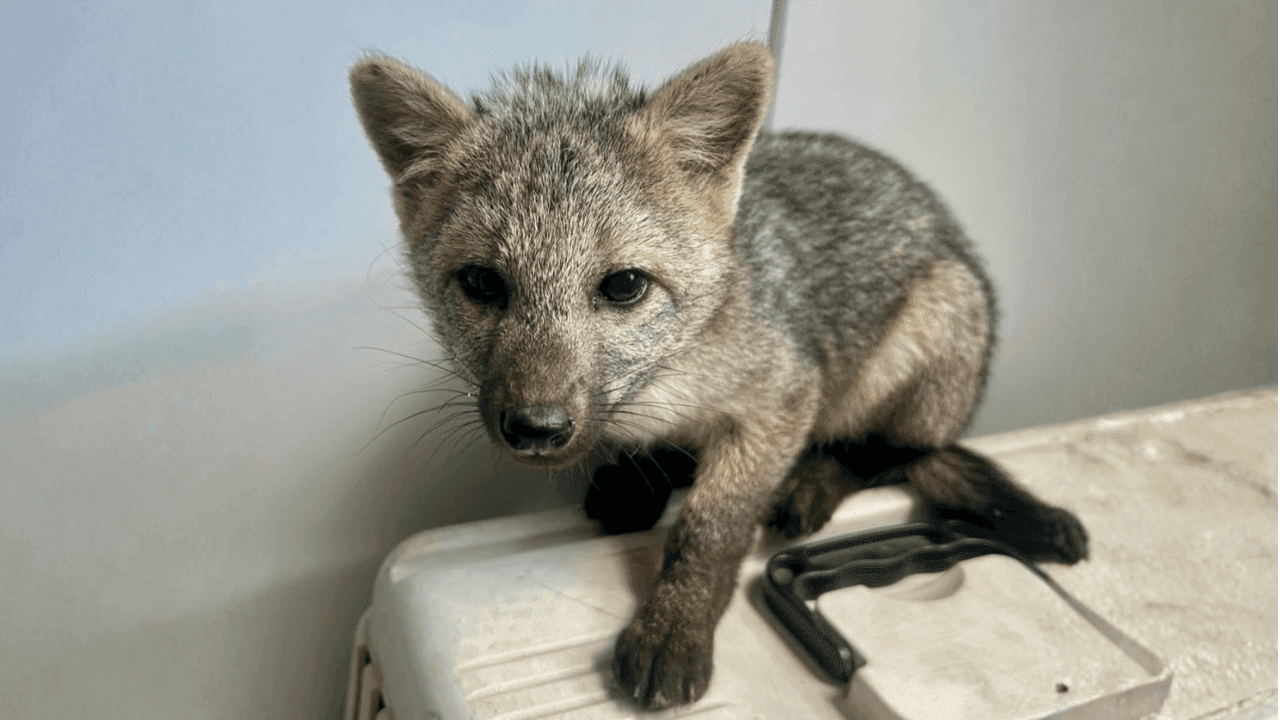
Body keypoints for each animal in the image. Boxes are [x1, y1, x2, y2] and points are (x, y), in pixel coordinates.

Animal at [349, 42, 1088, 710]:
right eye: (481, 283)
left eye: (624, 286)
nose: (535, 428)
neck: (662, 387)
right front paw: (642, 477)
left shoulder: (786, 394)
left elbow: (711, 527)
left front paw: (676, 624)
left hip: (935, 329)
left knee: (890, 454)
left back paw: (812, 481)